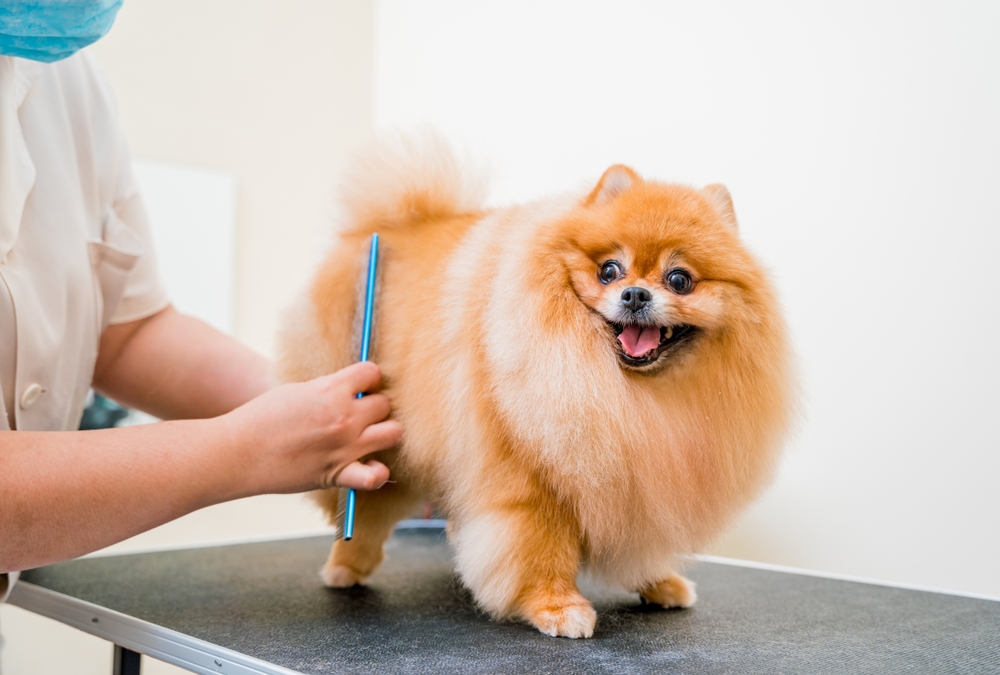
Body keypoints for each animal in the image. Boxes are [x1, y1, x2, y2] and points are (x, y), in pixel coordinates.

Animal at [278, 137, 792, 640]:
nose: (634, 294)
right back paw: (347, 566)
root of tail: (382, 227)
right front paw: (556, 606)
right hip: (372, 436)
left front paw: (658, 582)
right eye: (610, 270)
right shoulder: (529, 478)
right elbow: (539, 546)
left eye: (679, 280)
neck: (624, 389)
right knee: (364, 508)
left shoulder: (641, 480)